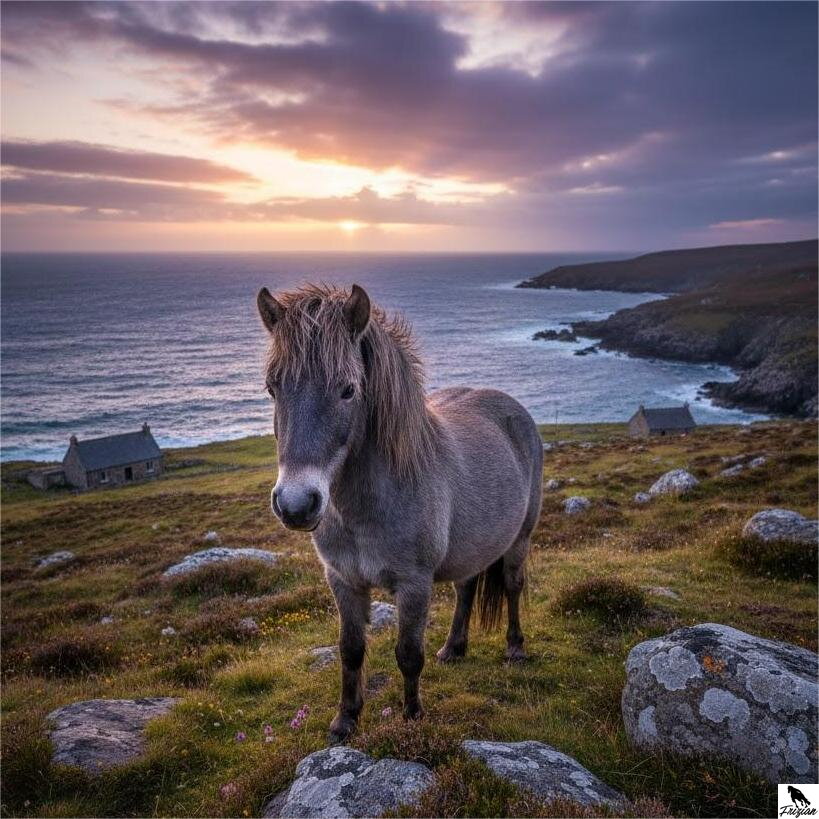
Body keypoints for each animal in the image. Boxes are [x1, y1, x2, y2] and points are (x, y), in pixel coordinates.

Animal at [257, 282, 543, 742]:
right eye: (272, 388)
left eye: (348, 390)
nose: (296, 504)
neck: (363, 511)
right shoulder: (343, 581)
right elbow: (351, 650)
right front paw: (345, 720)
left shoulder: (413, 585)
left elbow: (408, 654)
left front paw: (411, 718)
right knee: (466, 588)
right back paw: (454, 648)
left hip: (520, 538)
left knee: (513, 586)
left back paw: (515, 648)